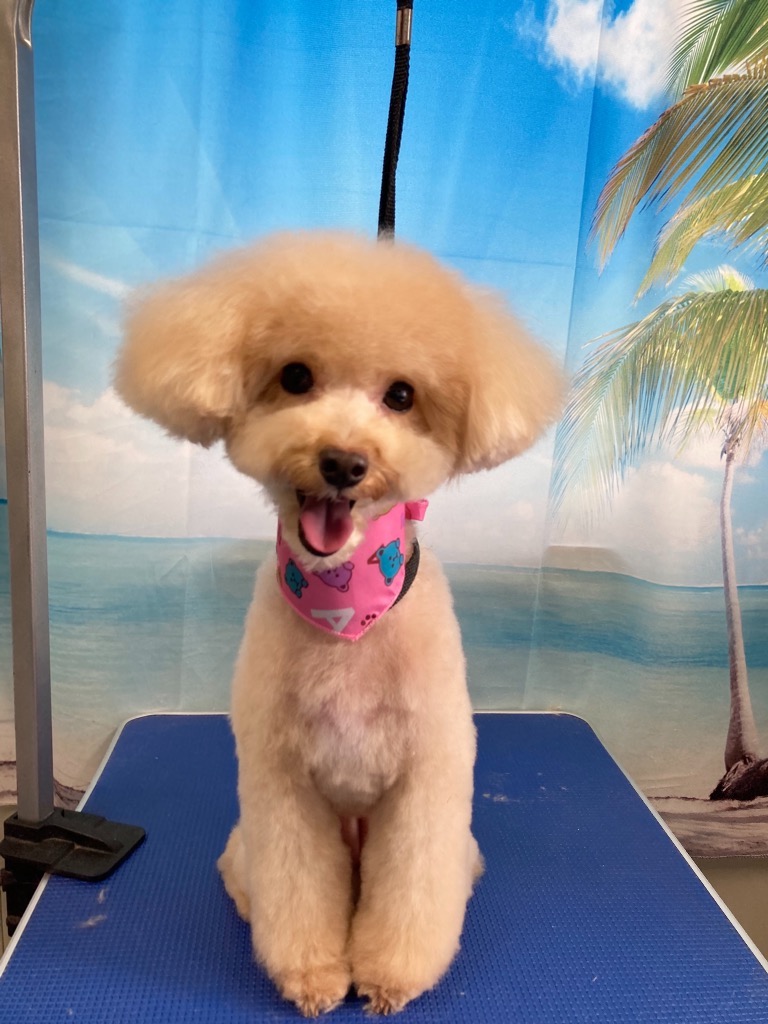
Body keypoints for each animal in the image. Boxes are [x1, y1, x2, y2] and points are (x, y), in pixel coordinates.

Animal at [115, 232, 562, 1016]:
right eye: (295, 376)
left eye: (402, 396)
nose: (345, 462)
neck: (347, 609)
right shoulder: (282, 783)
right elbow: (298, 891)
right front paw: (315, 974)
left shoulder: (426, 781)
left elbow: (413, 891)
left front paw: (389, 976)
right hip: (245, 843)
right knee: (249, 876)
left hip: (452, 840)